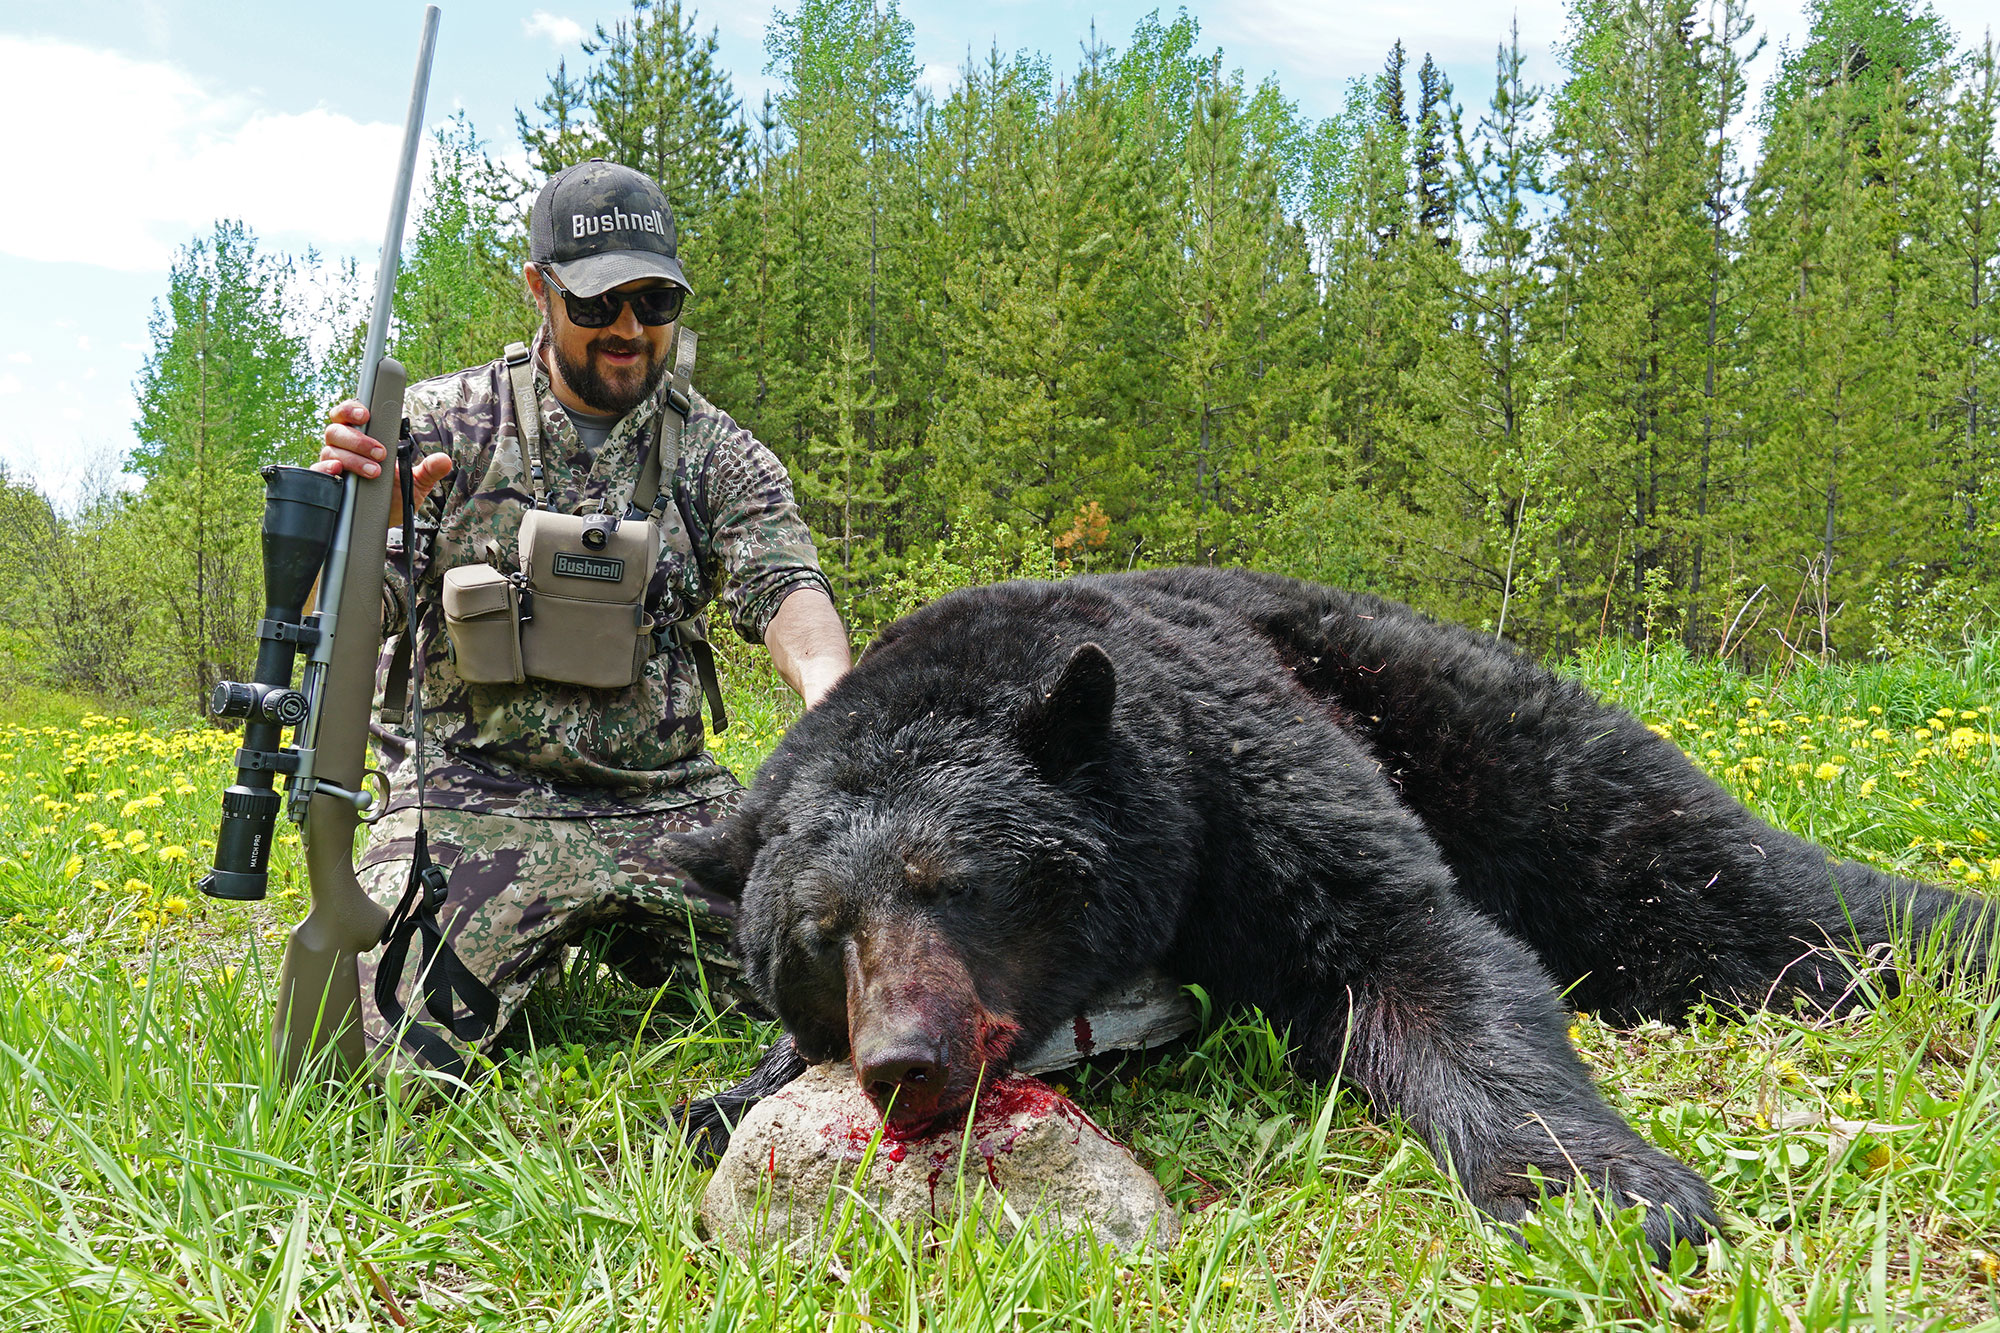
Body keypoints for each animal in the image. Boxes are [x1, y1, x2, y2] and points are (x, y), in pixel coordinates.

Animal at [672, 564, 1984, 1256]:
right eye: (818, 938)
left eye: (955, 884)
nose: (903, 1058)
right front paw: (725, 1096)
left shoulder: (1249, 780)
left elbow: (1413, 951)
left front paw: (1600, 1190)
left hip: (1485, 743)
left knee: (1714, 883)